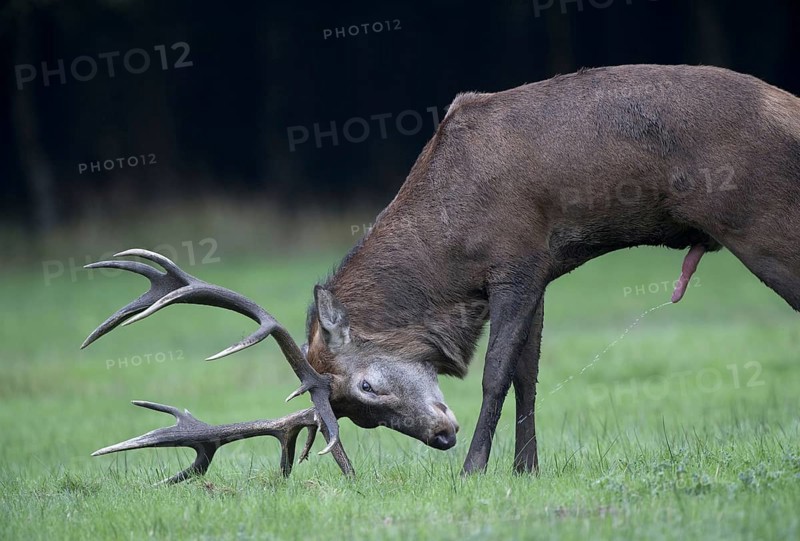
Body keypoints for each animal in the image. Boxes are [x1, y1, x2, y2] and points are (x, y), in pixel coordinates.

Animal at [83, 64, 800, 482]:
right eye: (362, 419)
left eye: (367, 387)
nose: (441, 437)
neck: (454, 245)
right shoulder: (541, 268)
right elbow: (530, 374)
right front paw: (526, 470)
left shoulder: (515, 257)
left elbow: (495, 372)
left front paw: (476, 471)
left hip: (759, 220)